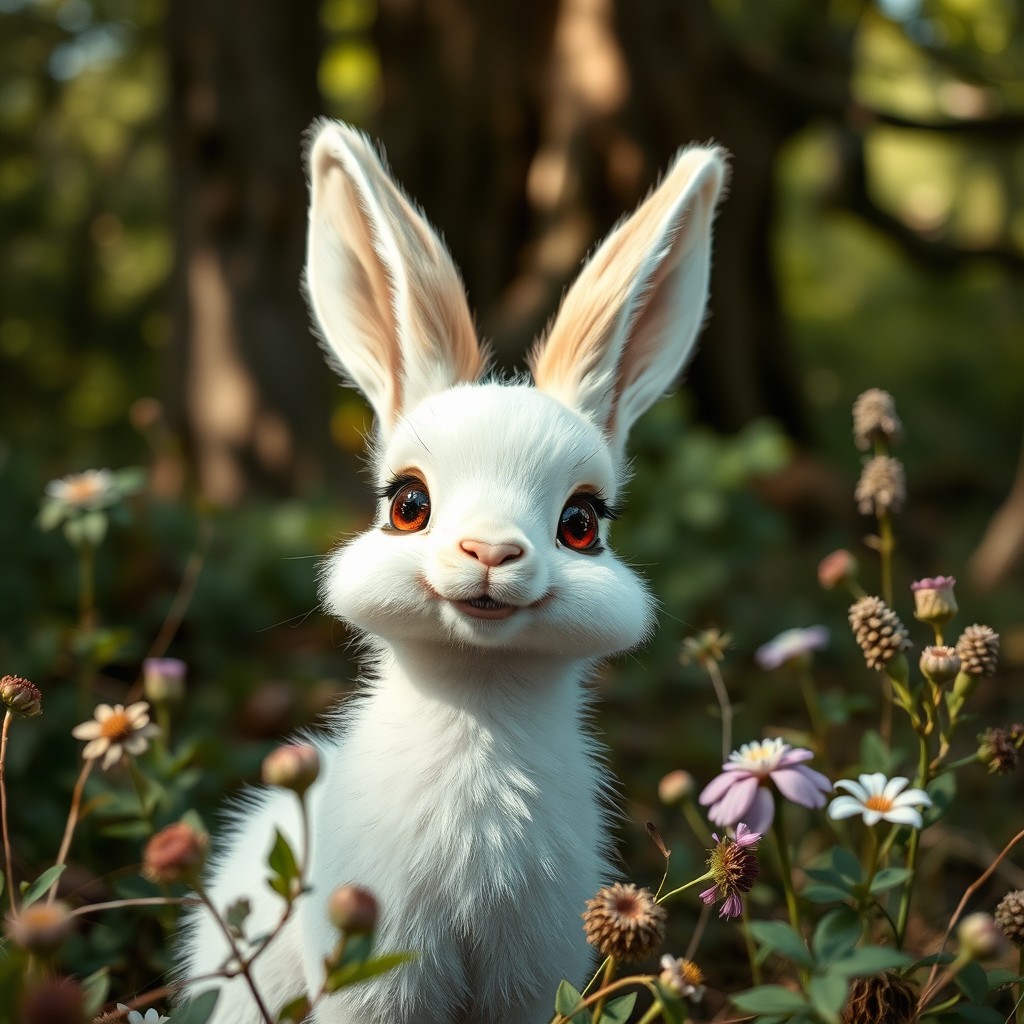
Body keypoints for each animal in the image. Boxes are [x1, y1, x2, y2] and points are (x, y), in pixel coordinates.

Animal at [178, 119, 728, 1024]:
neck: (479, 700)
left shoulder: (533, 970)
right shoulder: (381, 975)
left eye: (582, 523)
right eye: (408, 503)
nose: (491, 552)